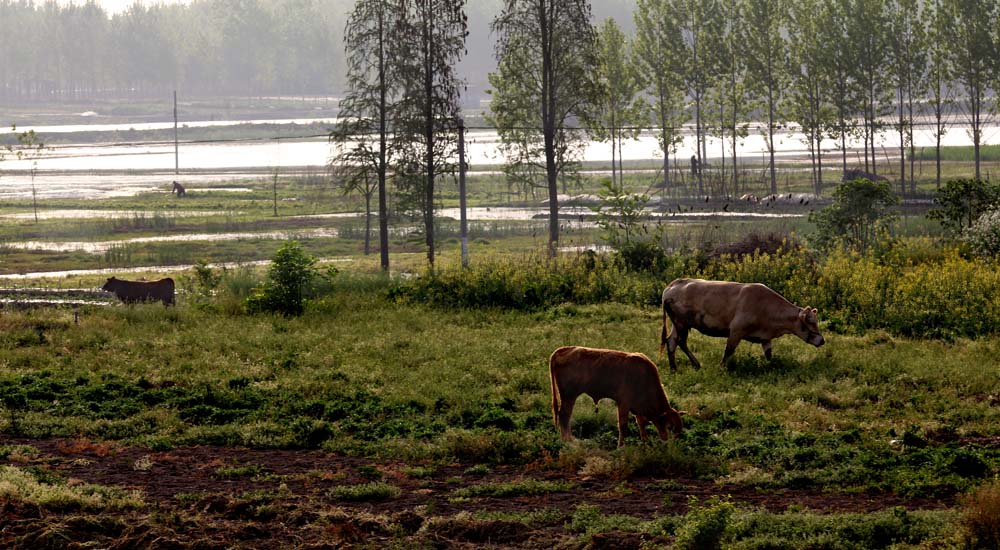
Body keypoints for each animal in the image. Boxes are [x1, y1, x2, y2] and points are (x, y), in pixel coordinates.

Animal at [552, 348, 684, 450]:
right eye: (670, 426)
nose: (671, 445)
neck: (644, 377)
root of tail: (563, 350)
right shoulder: (623, 404)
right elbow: (623, 425)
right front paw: (620, 447)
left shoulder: (636, 407)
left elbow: (641, 423)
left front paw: (645, 442)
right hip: (569, 396)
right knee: (564, 415)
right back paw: (567, 441)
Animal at [660, 280, 824, 370]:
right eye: (810, 322)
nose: (822, 340)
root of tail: (674, 284)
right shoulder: (736, 331)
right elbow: (728, 351)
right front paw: (721, 368)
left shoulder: (765, 337)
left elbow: (769, 355)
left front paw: (771, 366)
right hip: (681, 323)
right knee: (680, 341)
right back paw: (692, 364)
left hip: (678, 324)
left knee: (672, 341)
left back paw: (675, 368)